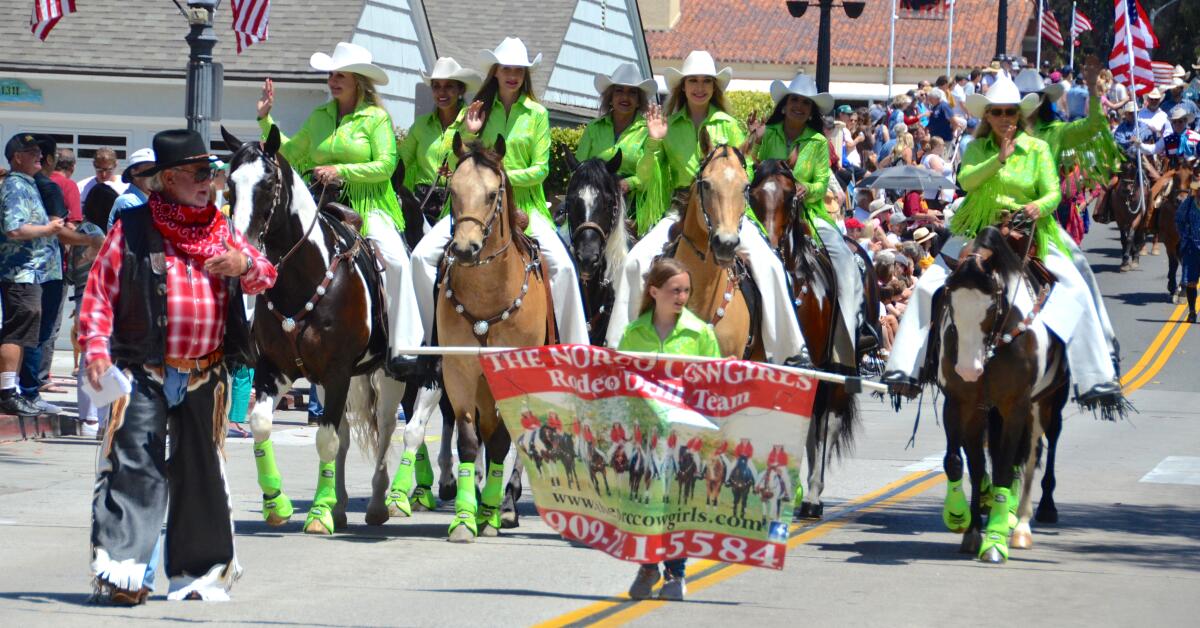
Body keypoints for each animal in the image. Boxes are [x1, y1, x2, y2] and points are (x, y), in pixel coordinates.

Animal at [218, 126, 400, 535]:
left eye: (268, 184)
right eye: (229, 185)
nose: (241, 249)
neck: (305, 278)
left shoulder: (337, 371)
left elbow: (326, 440)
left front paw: (318, 513)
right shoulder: (276, 368)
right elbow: (262, 424)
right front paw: (277, 503)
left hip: (387, 376)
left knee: (386, 428)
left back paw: (378, 503)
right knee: (348, 435)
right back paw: (341, 504)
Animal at [439, 135, 554, 542]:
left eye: (492, 194)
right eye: (454, 191)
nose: (464, 249)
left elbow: (504, 441)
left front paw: (489, 515)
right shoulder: (458, 371)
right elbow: (469, 441)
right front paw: (463, 519)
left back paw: (503, 506)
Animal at [744, 157, 878, 521]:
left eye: (791, 196)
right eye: (753, 194)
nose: (769, 243)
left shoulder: (817, 365)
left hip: (837, 369)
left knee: (825, 423)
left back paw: (813, 498)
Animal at [936, 225, 1070, 564]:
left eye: (991, 305)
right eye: (949, 301)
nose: (968, 369)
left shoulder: (1015, 405)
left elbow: (1004, 468)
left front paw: (995, 542)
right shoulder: (964, 403)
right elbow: (967, 463)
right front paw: (965, 524)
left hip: (1047, 402)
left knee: (1039, 451)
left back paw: (1026, 522)